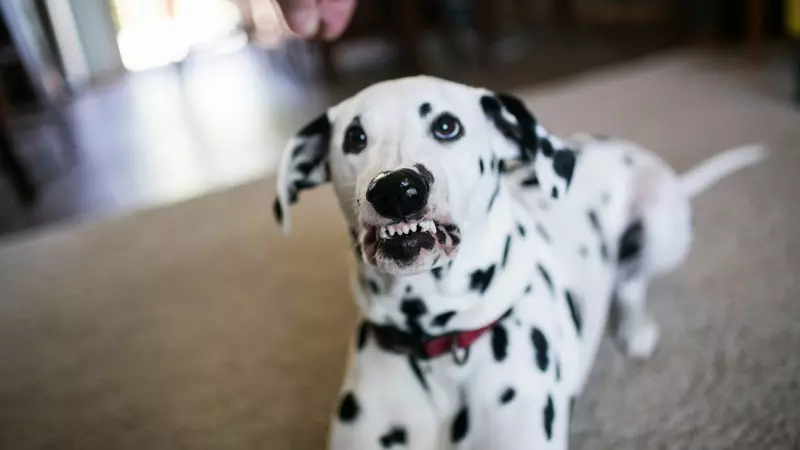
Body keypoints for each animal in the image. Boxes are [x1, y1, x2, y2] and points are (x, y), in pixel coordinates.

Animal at [272, 75, 764, 448]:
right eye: (355, 137)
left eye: (447, 126)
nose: (397, 188)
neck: (438, 344)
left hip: (662, 222)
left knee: (630, 282)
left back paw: (636, 328)